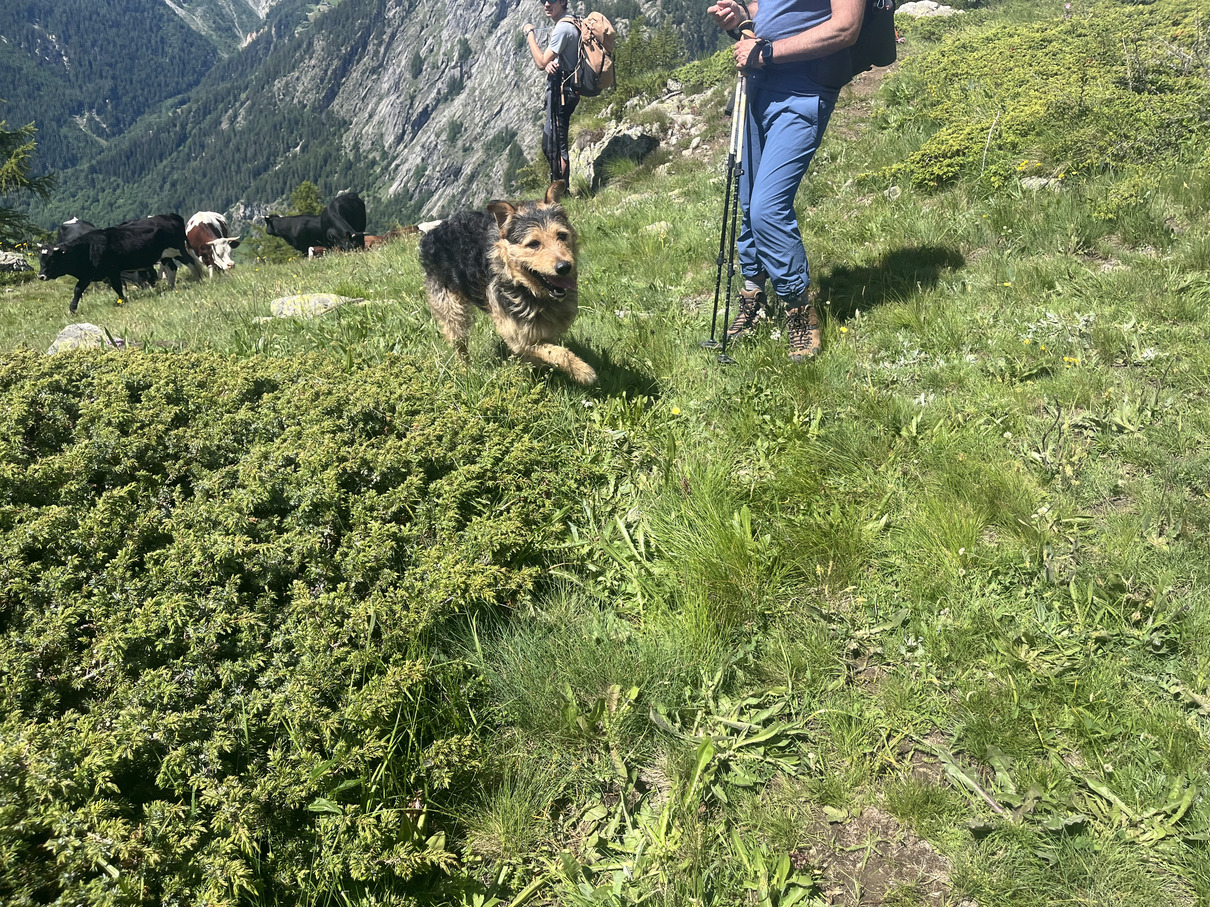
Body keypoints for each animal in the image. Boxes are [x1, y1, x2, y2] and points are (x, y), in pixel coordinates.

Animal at [40, 214, 204, 316]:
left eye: (52, 260)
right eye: (41, 260)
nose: (41, 276)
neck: (88, 249)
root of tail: (170, 215)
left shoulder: (112, 271)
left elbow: (117, 287)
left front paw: (122, 301)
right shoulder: (89, 275)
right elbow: (77, 290)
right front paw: (72, 309)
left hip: (178, 249)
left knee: (191, 263)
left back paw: (198, 280)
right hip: (164, 256)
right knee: (172, 269)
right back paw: (171, 288)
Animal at [418, 182, 597, 384]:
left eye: (562, 235)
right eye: (533, 244)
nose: (564, 267)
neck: (525, 288)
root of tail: (433, 231)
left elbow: (547, 350)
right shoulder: (517, 336)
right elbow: (556, 352)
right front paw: (582, 371)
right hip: (451, 308)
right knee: (458, 341)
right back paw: (466, 370)